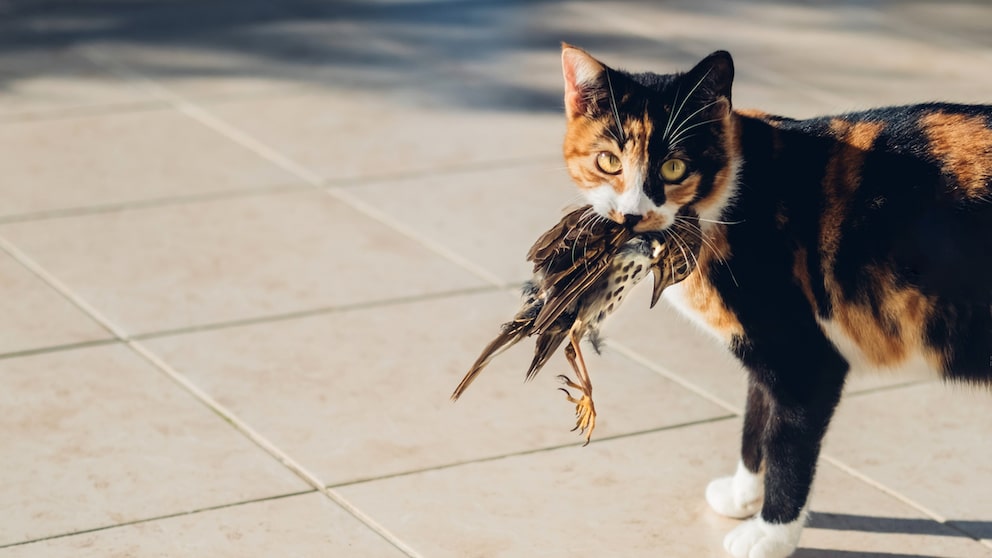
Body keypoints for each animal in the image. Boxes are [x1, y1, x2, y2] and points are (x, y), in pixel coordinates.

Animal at [560, 43, 992, 558]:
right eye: (608, 161)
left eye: (673, 167)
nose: (632, 214)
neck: (729, 199)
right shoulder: (760, 353)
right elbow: (755, 423)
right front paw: (742, 494)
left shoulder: (804, 362)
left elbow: (787, 450)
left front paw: (769, 533)